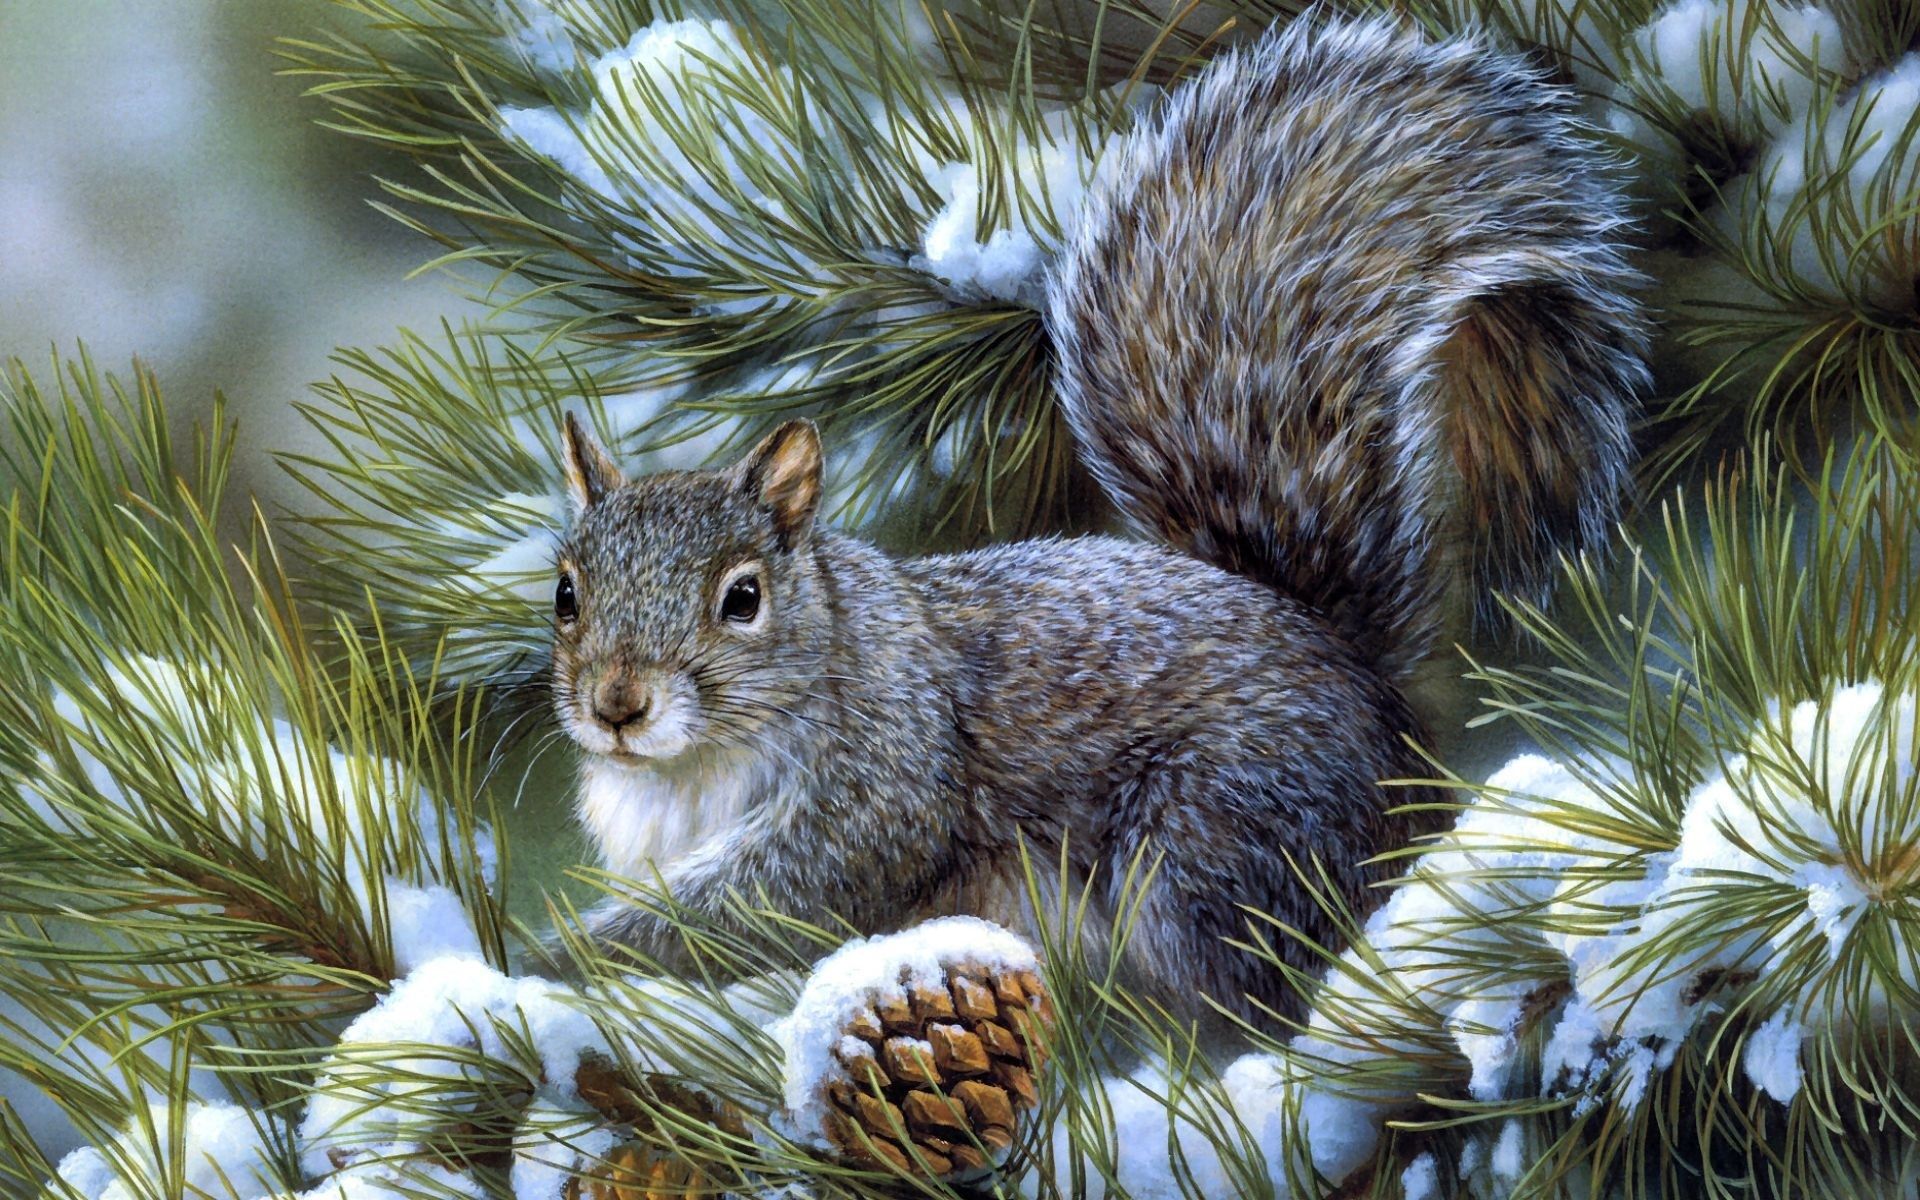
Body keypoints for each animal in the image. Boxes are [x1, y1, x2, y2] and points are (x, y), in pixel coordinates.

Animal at [548, 13, 1647, 1032]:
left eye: (742, 599)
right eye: (565, 594)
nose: (617, 705)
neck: (690, 769)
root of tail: (1381, 713)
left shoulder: (886, 778)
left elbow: (774, 898)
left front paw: (577, 956)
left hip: (1213, 840)